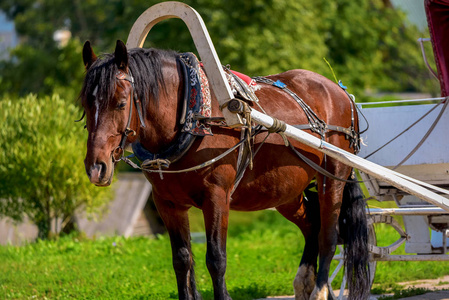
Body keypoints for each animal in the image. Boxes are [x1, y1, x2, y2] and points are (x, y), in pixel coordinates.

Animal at [79, 40, 368, 300]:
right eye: (85, 105)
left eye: (120, 102)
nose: (96, 167)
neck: (192, 118)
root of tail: (340, 92)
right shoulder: (167, 204)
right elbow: (181, 260)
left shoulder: (216, 197)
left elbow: (216, 259)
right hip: (286, 191)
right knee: (312, 225)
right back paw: (304, 282)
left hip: (333, 178)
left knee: (328, 236)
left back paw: (320, 290)